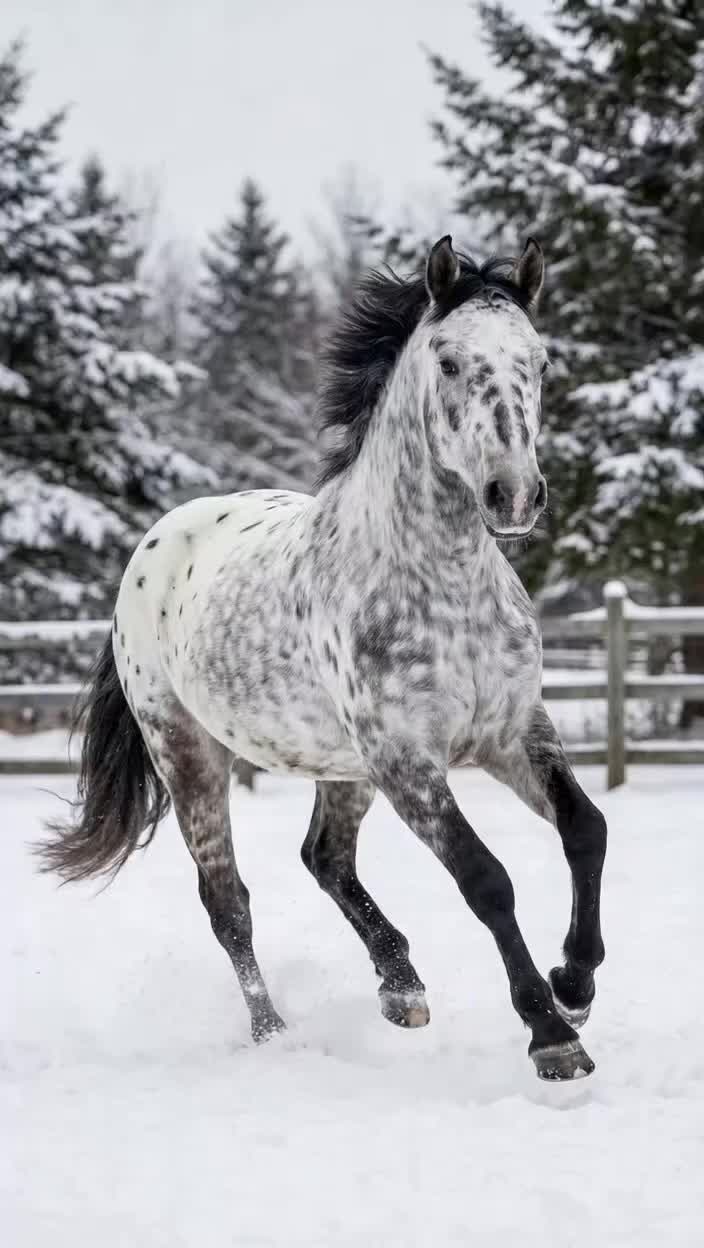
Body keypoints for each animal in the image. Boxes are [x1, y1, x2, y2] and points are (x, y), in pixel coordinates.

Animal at [39, 236, 607, 1082]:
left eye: (536, 361)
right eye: (448, 361)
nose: (513, 495)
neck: (442, 584)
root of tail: (157, 542)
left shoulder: (512, 733)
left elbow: (585, 829)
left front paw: (575, 984)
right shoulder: (409, 761)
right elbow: (486, 880)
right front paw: (551, 1036)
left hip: (342, 766)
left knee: (325, 858)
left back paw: (401, 989)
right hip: (188, 753)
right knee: (228, 901)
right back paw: (274, 1033)